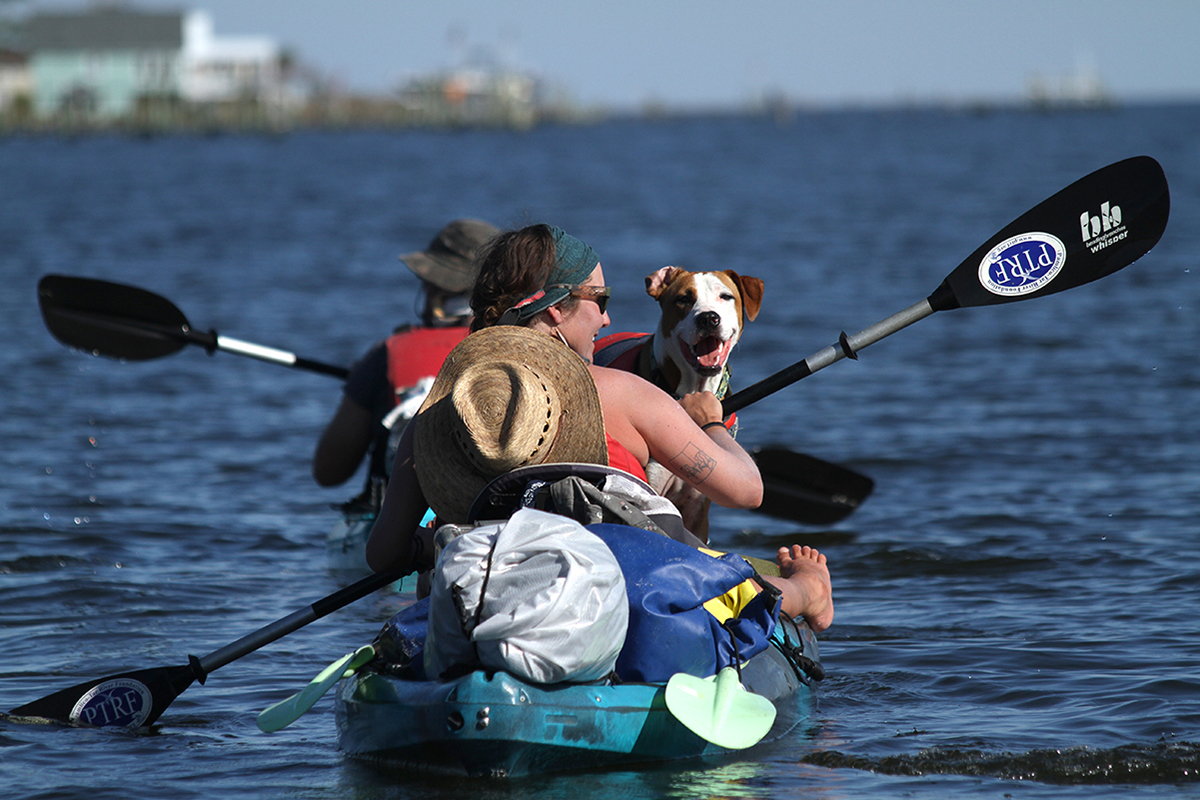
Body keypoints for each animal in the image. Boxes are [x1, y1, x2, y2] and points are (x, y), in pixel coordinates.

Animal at [595, 266, 763, 542]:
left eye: (726, 296)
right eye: (683, 298)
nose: (708, 318)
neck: (695, 386)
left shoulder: (698, 505)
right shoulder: (651, 488)